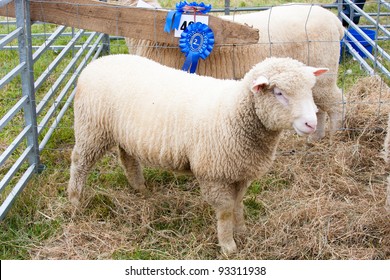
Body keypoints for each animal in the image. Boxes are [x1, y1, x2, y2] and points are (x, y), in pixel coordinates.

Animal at [68, 54, 328, 254]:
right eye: (278, 92)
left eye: (310, 89)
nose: (311, 123)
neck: (234, 113)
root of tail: (96, 63)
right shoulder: (214, 173)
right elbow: (225, 210)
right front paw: (228, 245)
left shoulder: (241, 172)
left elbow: (238, 204)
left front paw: (242, 231)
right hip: (91, 128)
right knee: (79, 163)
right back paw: (75, 201)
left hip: (123, 133)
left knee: (128, 159)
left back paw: (141, 189)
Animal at [119, 1, 344, 141]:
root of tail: (335, 20)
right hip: (311, 83)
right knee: (319, 109)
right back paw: (315, 138)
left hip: (324, 77)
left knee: (337, 103)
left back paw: (334, 137)